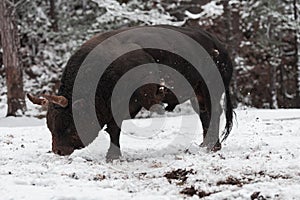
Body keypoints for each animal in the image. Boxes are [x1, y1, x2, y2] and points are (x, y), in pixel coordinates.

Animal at [27, 25, 234, 159]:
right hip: (198, 95)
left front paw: (112, 156)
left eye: (68, 124)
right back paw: (206, 145)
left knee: (213, 113)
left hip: (210, 90)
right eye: (50, 125)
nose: (58, 151)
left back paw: (212, 146)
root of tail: (217, 45)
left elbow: (114, 129)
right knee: (205, 115)